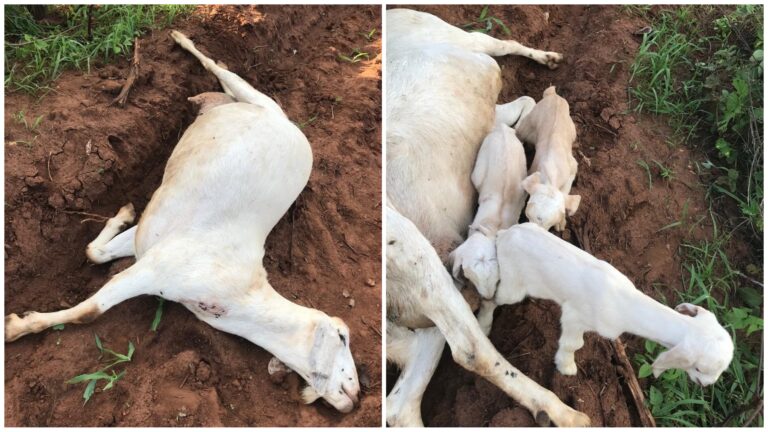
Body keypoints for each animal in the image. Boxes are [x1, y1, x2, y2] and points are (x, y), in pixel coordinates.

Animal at [5, 30, 360, 413]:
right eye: (343, 336)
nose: (357, 395)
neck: (237, 298)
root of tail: (287, 125)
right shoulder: (158, 267)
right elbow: (90, 309)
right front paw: (16, 327)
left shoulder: (151, 247)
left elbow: (95, 253)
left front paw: (123, 214)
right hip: (257, 100)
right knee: (222, 70)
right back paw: (181, 38)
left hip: (260, 108)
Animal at [490, 223, 733, 384]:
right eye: (699, 368)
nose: (707, 384)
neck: (625, 304)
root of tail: (505, 234)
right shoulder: (574, 316)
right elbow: (573, 344)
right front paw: (566, 367)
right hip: (512, 285)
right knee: (494, 299)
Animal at [516, 86, 581, 231]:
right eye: (528, 216)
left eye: (549, 224)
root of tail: (553, 94)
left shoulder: (573, 167)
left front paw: (561, 224)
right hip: (528, 124)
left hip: (572, 129)